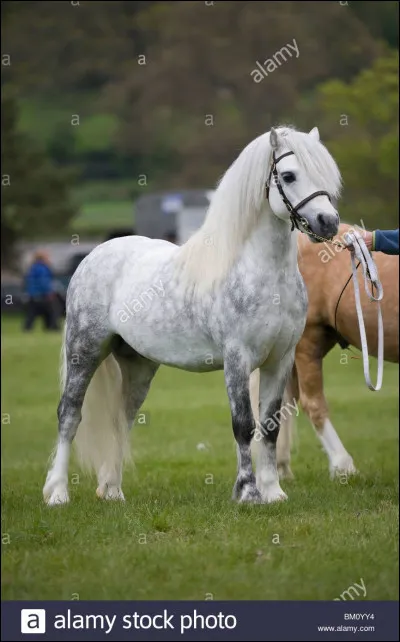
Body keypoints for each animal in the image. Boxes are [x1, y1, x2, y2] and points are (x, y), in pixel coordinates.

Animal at [43, 124, 341, 507]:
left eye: (327, 174)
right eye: (288, 175)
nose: (328, 223)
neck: (262, 272)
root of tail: (94, 254)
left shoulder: (280, 360)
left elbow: (270, 426)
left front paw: (273, 491)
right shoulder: (237, 359)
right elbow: (243, 425)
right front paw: (248, 492)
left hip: (138, 365)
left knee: (121, 419)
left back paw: (112, 490)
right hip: (84, 350)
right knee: (69, 415)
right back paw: (57, 493)